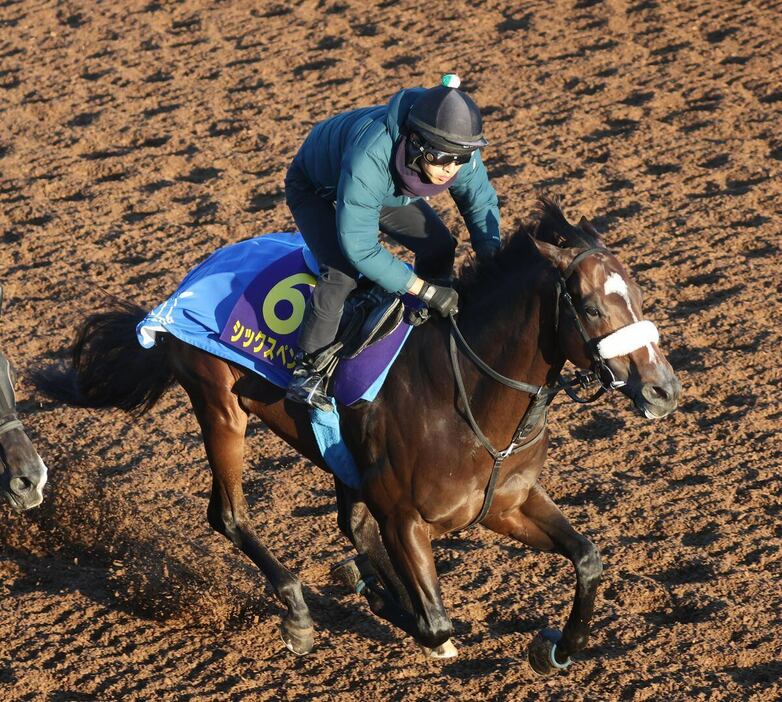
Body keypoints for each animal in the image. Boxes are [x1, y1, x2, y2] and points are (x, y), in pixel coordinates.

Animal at [35, 201, 680, 672]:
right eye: (591, 308)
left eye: (638, 295)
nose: (663, 390)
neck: (469, 397)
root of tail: (182, 288)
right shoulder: (406, 517)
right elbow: (435, 622)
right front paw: (384, 600)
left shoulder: (506, 504)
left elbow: (589, 558)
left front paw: (556, 649)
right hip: (220, 407)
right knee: (229, 515)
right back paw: (299, 610)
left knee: (348, 519)